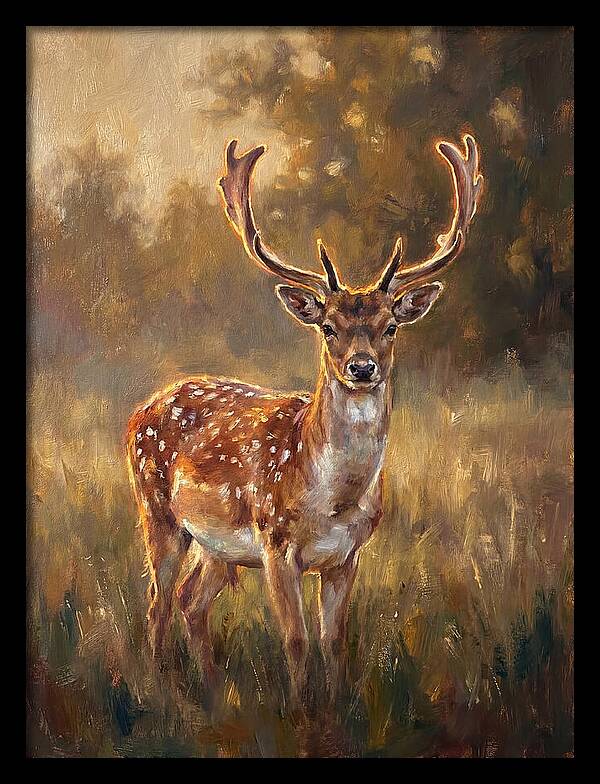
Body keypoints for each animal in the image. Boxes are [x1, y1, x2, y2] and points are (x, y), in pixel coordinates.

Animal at [126, 133, 482, 709]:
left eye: (389, 326)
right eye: (329, 326)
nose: (362, 367)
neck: (332, 501)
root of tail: (143, 408)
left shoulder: (347, 556)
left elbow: (333, 641)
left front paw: (334, 708)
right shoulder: (275, 545)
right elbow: (295, 640)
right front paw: (299, 712)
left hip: (217, 548)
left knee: (189, 600)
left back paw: (212, 691)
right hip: (157, 511)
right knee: (157, 603)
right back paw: (162, 691)